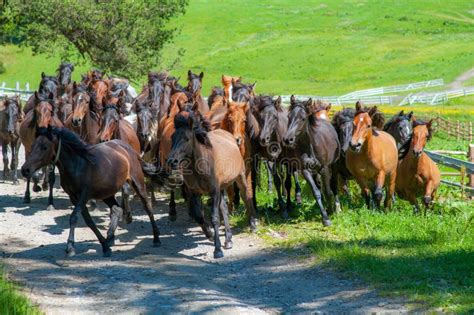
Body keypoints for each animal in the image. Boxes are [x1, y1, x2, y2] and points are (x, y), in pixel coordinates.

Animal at [21, 127, 162, 258]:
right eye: (32, 145)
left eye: (44, 147)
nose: (25, 170)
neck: (78, 164)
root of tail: (128, 149)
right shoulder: (74, 197)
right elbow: (89, 222)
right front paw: (105, 246)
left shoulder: (84, 196)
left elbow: (74, 217)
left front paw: (70, 248)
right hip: (106, 193)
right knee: (117, 209)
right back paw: (110, 238)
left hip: (137, 184)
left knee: (147, 207)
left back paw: (156, 239)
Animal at [167, 111, 256, 260]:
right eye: (172, 138)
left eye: (186, 139)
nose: (171, 161)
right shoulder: (195, 192)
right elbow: (199, 215)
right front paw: (209, 234)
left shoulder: (214, 191)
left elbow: (214, 218)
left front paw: (217, 249)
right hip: (222, 187)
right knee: (224, 208)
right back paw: (228, 239)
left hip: (240, 177)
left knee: (246, 196)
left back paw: (253, 225)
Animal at [282, 97, 340, 226]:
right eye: (289, 117)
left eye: (303, 118)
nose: (288, 139)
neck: (310, 146)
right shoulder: (305, 170)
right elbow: (316, 192)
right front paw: (325, 217)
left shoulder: (324, 168)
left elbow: (328, 191)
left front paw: (331, 211)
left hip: (333, 165)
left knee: (333, 184)